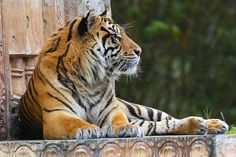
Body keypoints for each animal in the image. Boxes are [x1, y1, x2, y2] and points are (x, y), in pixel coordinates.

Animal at [19, 9, 230, 139]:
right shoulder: (56, 114)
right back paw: (201, 125)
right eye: (116, 37)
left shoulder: (112, 110)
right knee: (158, 125)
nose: (140, 51)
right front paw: (88, 129)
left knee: (167, 120)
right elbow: (74, 122)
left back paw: (211, 124)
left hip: (140, 109)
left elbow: (120, 120)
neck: (89, 79)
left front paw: (126, 128)